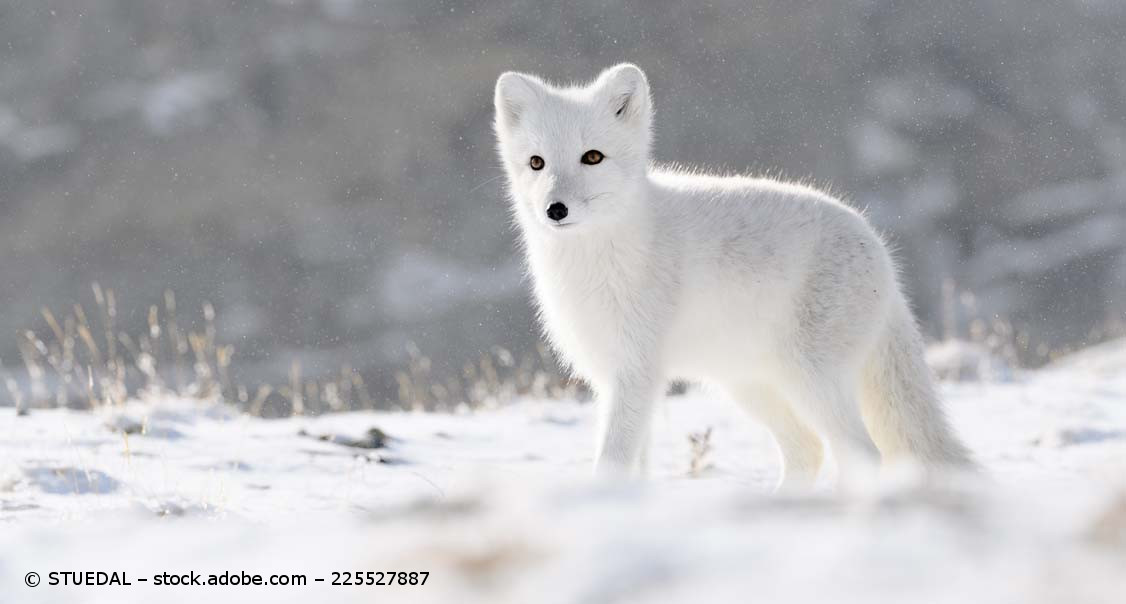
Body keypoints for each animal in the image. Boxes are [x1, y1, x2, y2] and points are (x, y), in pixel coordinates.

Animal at [493, 63, 977, 486]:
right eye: (536, 163)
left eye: (592, 157)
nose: (555, 210)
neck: (594, 260)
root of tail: (880, 250)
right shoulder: (611, 376)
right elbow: (634, 469)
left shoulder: (638, 372)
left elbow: (611, 462)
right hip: (749, 384)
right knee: (809, 450)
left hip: (810, 381)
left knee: (863, 456)